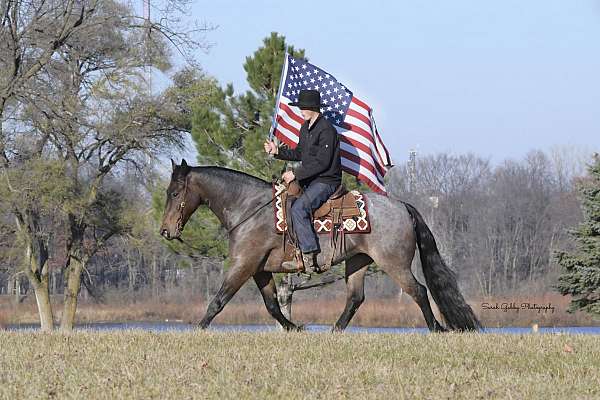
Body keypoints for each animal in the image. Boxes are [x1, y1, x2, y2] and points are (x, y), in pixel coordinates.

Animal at [161, 159, 482, 332]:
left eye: (175, 192)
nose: (165, 231)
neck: (248, 207)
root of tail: (402, 206)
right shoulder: (259, 269)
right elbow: (272, 305)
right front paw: (296, 327)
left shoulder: (243, 265)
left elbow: (219, 300)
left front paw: (198, 329)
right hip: (358, 261)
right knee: (355, 298)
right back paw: (334, 331)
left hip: (394, 263)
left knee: (419, 291)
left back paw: (436, 328)